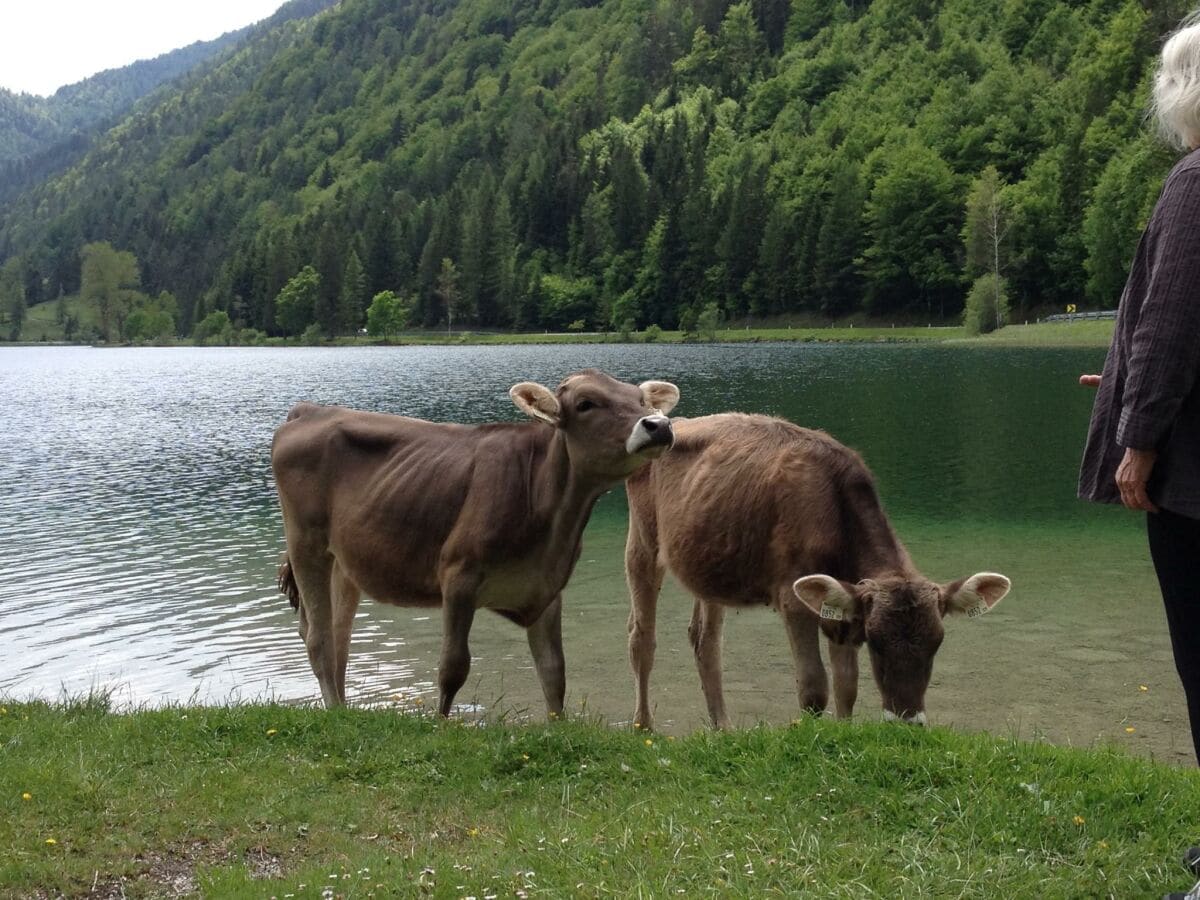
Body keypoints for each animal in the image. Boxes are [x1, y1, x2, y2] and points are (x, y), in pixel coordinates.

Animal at [274, 367, 681, 720]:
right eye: (585, 404)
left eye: (640, 400)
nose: (658, 425)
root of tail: (311, 409)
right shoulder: (459, 575)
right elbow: (453, 666)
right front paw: (440, 725)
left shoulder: (547, 586)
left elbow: (554, 672)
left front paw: (559, 727)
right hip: (305, 540)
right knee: (318, 637)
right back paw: (334, 711)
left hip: (344, 561)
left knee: (338, 635)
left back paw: (344, 710)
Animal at [628, 415, 1012, 734]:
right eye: (877, 642)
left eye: (937, 642)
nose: (907, 723)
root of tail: (673, 421)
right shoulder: (793, 599)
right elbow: (814, 687)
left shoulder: (845, 609)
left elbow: (847, 687)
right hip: (644, 544)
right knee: (642, 638)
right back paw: (644, 727)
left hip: (710, 566)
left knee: (706, 642)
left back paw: (723, 728)